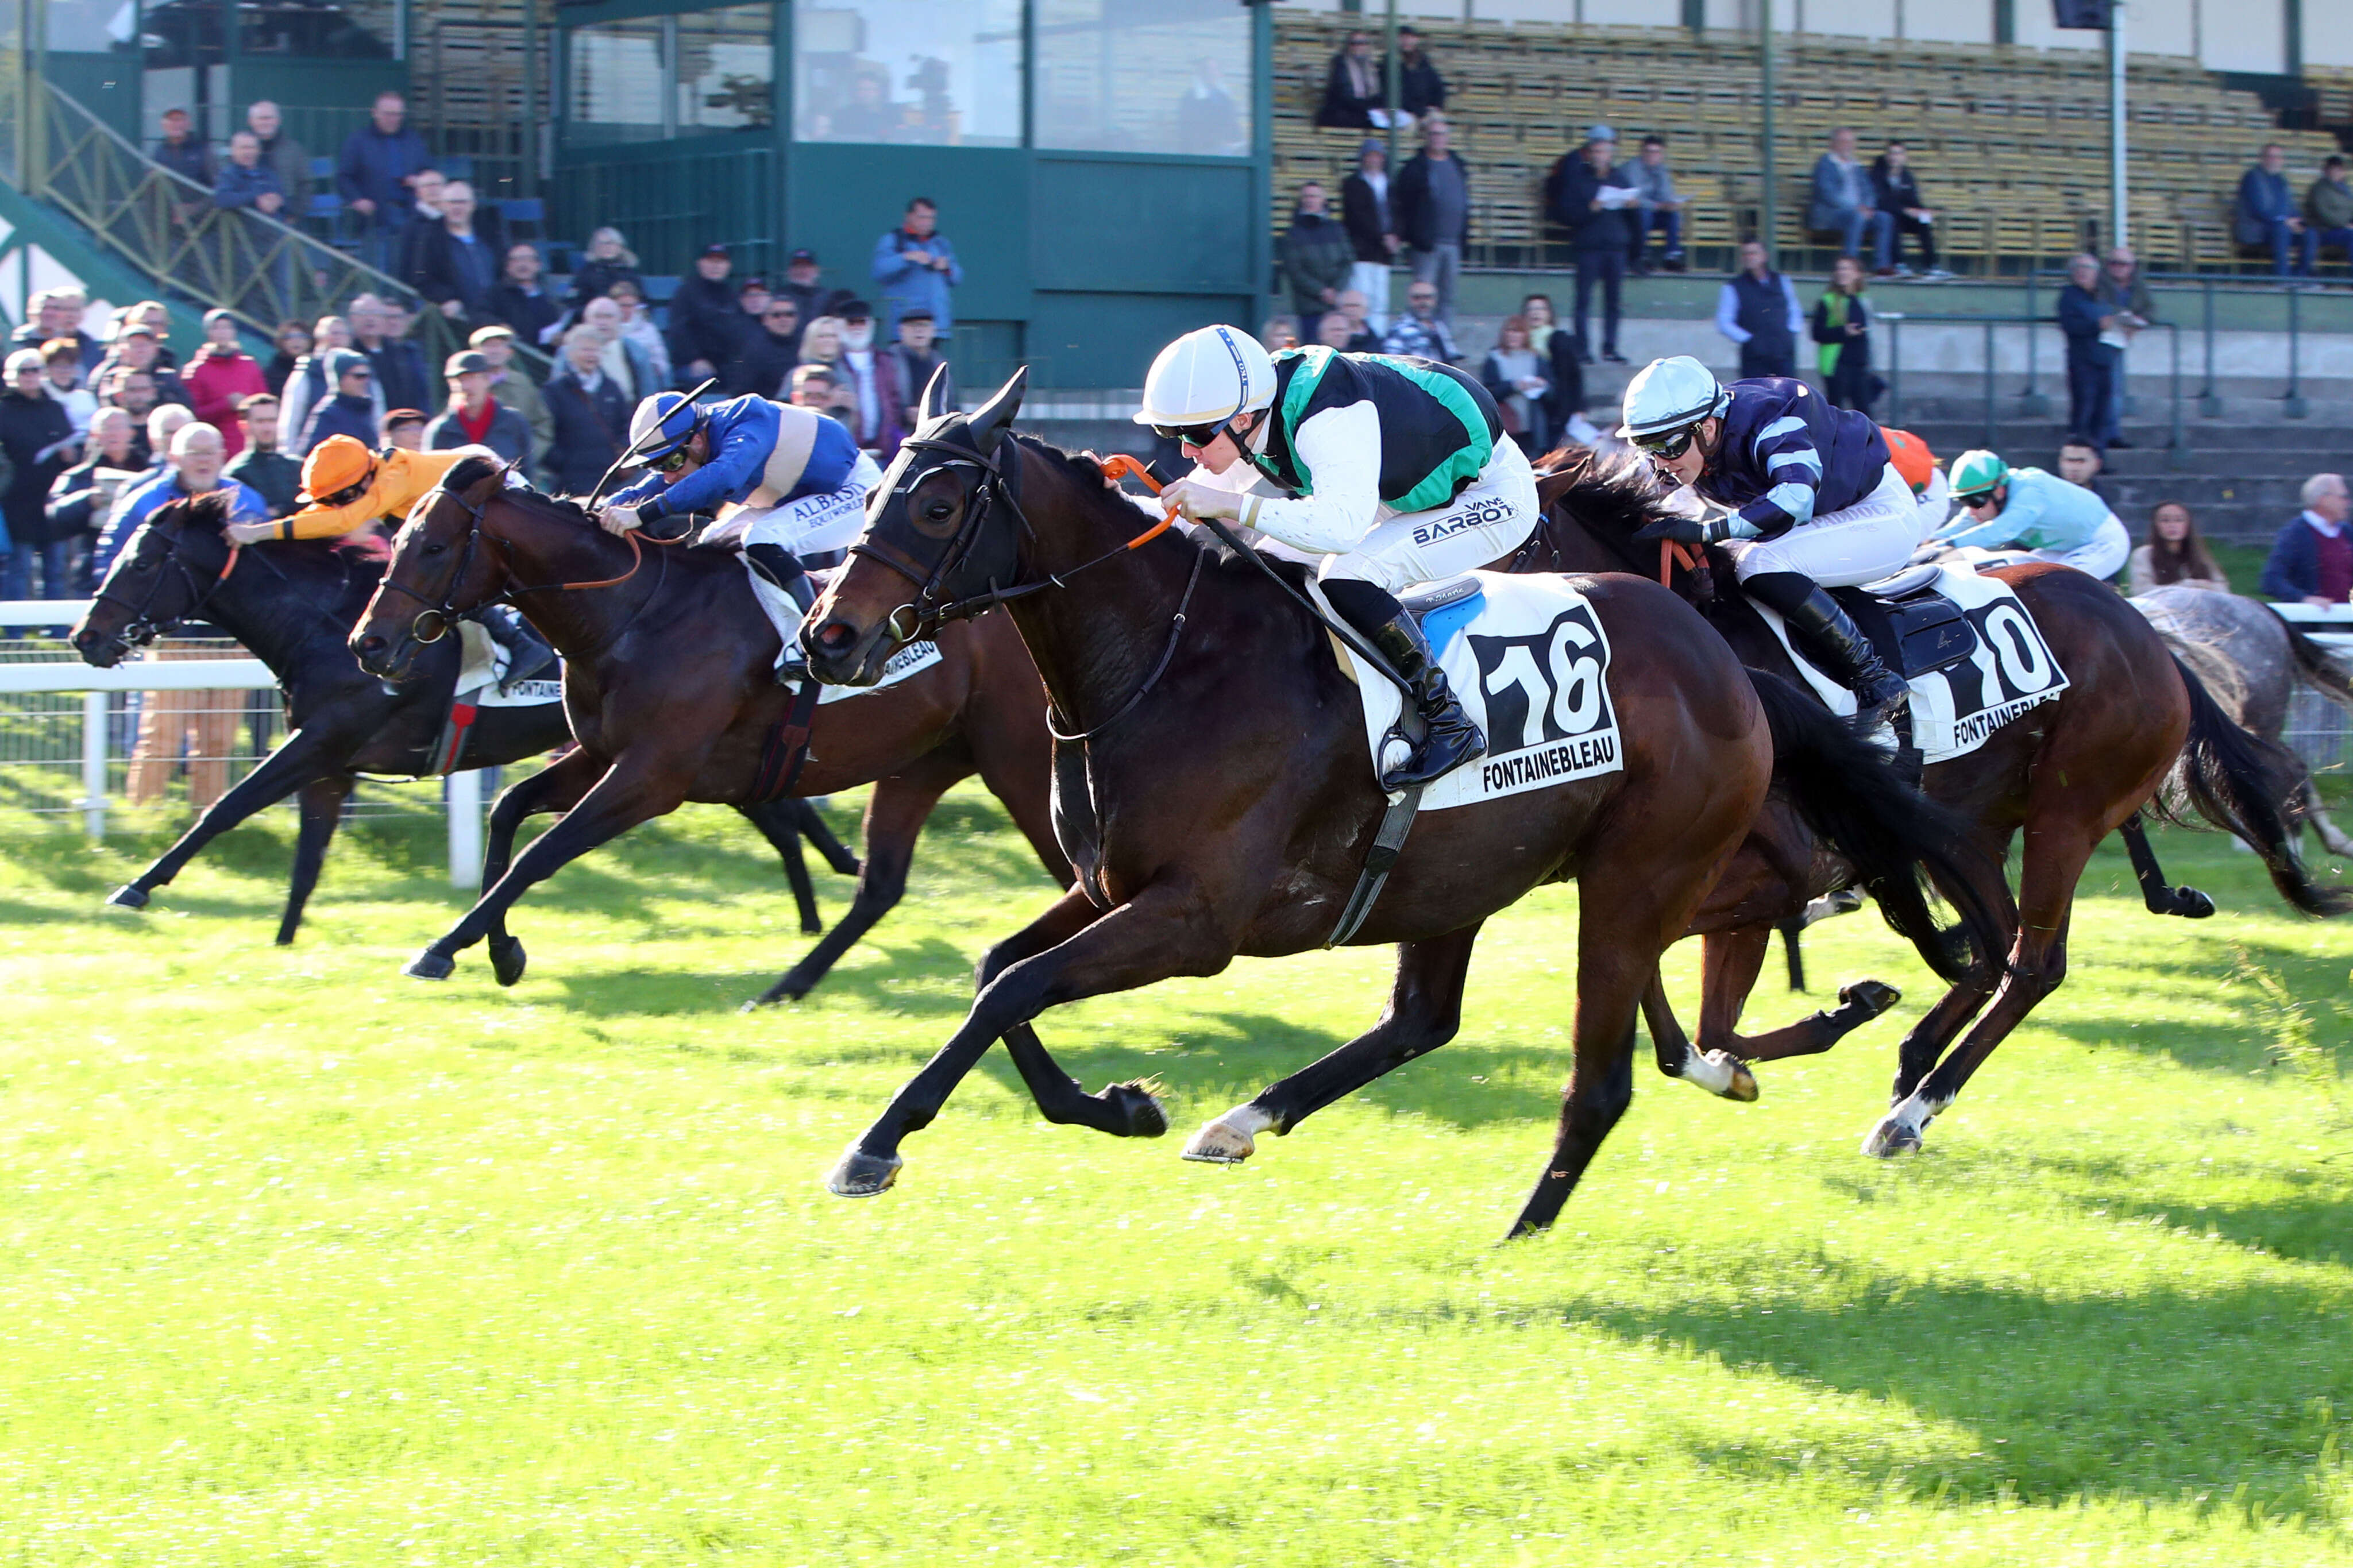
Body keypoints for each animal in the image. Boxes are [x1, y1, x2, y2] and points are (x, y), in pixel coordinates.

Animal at [68, 493, 851, 945]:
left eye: (141, 562)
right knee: (778, 811)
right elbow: (307, 857)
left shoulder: (320, 741)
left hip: (671, 758)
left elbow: (227, 807)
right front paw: (287, 941)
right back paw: (818, 906)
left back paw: (827, 896)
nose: (85, 637)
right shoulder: (334, 765)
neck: (325, 625)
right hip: (694, 758)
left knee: (781, 815)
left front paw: (136, 887)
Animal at [344, 461, 1073, 1010]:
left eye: (434, 547)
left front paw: (444, 948)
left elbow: (540, 854)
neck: (632, 618)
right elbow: (508, 811)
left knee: (1070, 876)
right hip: (923, 761)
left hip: (1020, 767)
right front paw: (496, 950)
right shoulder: (602, 757)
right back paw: (785, 988)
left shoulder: (653, 776)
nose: (367, 644)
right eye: (398, 540)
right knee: (882, 886)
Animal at [800, 371, 1995, 1241]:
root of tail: (1729, 667)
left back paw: (1518, 1239)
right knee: (1425, 1020)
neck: (1168, 661)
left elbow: (1017, 989)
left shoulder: (1195, 920)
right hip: (1455, 876)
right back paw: (1244, 1120)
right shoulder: (1113, 887)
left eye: (938, 503)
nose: (828, 636)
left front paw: (873, 1146)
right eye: (875, 490)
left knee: (1600, 1078)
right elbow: (997, 973)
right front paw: (1119, 1106)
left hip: (1630, 880)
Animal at [1515, 446, 2343, 1161]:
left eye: (1516, 541)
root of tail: (2144, 632)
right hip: (1974, 828)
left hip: (2067, 815)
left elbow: (1684, 974)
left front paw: (1847, 1006)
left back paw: (1912, 1111)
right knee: (1997, 946)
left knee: (2031, 965)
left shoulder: (1770, 871)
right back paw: (1914, 1059)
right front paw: (1815, 1023)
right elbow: (1696, 1016)